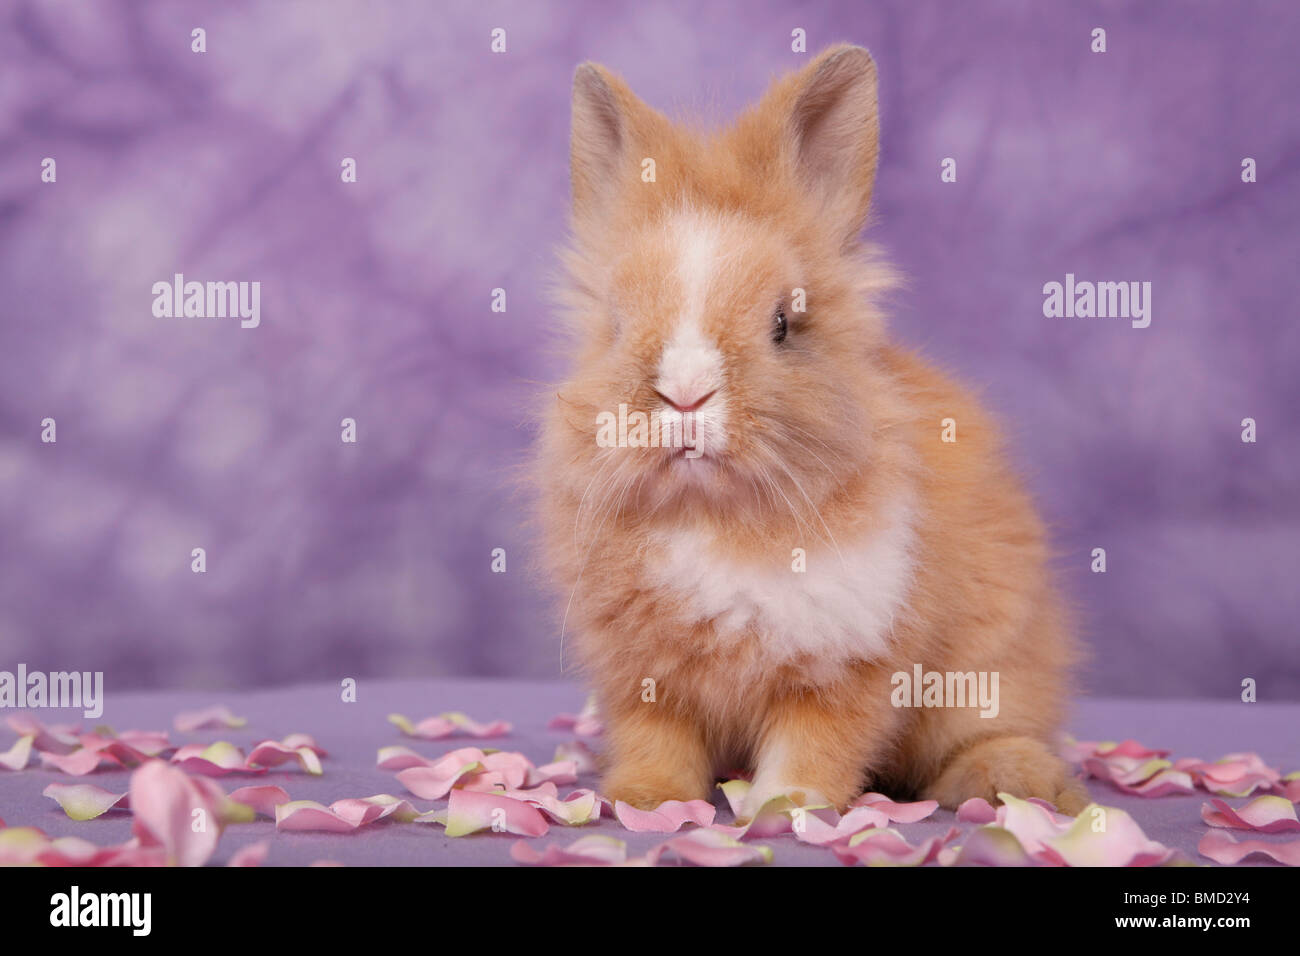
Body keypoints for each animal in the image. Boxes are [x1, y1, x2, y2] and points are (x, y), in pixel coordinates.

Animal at [533, 44, 1092, 816]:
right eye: (616, 325)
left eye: (783, 324)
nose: (686, 396)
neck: (712, 518)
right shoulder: (643, 675)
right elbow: (657, 738)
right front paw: (647, 801)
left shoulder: (849, 664)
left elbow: (815, 743)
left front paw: (786, 808)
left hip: (994, 667)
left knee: (997, 728)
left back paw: (1008, 780)